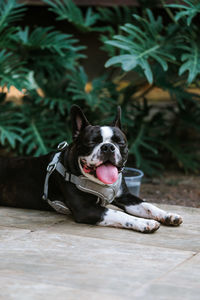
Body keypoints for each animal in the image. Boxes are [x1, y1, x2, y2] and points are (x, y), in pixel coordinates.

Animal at [0, 104, 182, 233]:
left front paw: (168, 215)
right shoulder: (86, 209)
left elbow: (148, 205)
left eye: (120, 142)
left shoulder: (126, 197)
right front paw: (145, 223)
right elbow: (119, 214)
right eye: (92, 142)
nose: (108, 147)